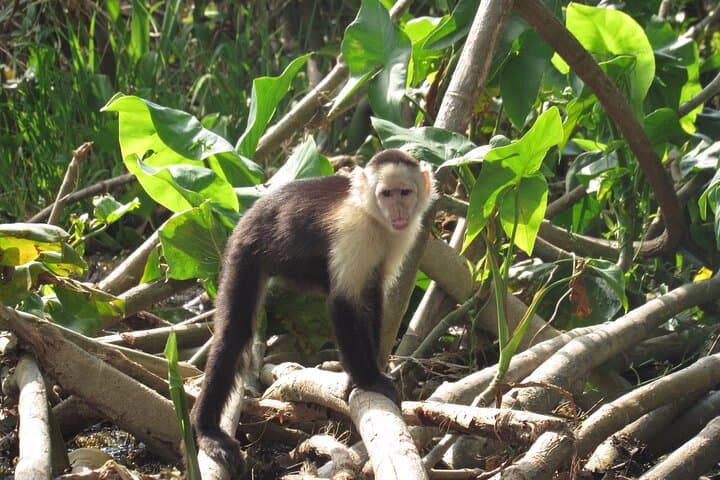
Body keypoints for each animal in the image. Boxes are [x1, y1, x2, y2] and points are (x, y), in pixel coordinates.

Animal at [190, 149, 436, 473]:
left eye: (405, 193)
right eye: (387, 194)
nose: (398, 211)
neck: (375, 218)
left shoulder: (401, 236)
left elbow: (371, 297)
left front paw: (361, 375)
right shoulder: (355, 231)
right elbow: (342, 302)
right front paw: (369, 379)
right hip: (245, 249)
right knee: (234, 333)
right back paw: (207, 430)